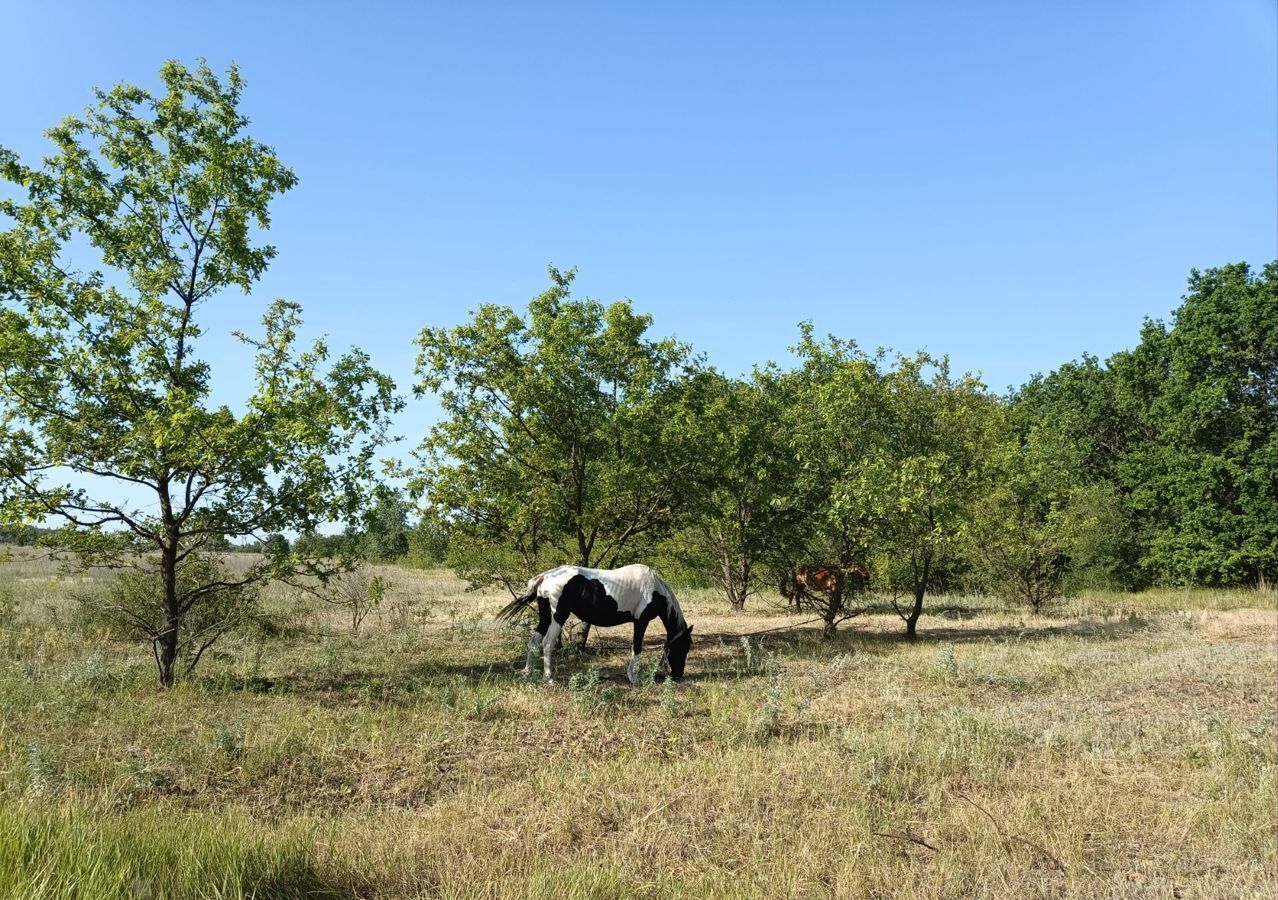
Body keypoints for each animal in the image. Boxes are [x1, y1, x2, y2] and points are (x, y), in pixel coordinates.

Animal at [495, 565, 695, 685]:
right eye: (683, 647)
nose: (678, 674)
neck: (654, 588)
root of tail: (545, 576)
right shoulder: (641, 621)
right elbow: (636, 649)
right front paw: (634, 678)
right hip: (558, 616)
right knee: (547, 643)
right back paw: (549, 678)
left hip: (545, 617)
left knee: (534, 642)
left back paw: (527, 671)